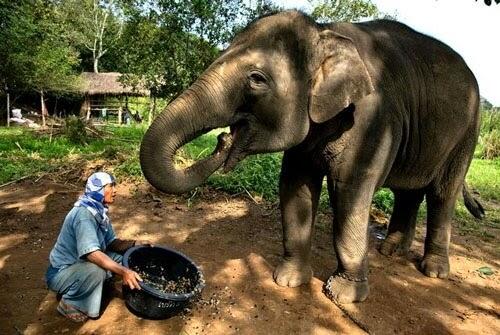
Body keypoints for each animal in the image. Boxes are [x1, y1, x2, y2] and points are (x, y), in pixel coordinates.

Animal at [139, 10, 482, 304]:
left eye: (257, 78)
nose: (222, 140)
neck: (325, 33)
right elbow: (295, 185)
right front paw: (288, 280)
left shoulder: (372, 119)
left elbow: (349, 191)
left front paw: (344, 295)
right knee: (407, 191)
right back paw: (390, 251)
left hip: (469, 131)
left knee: (442, 193)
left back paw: (433, 270)